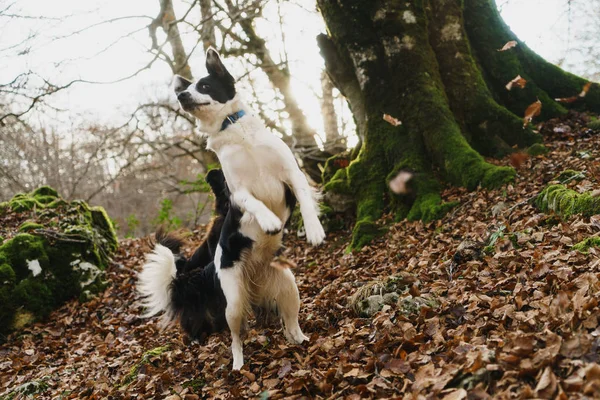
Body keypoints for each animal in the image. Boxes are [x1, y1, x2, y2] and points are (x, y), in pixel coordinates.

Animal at [138, 48, 326, 370]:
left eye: (203, 85)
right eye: (186, 89)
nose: (182, 96)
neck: (236, 131)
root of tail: (256, 275)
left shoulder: (292, 174)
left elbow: (304, 197)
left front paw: (313, 229)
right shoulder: (237, 191)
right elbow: (255, 203)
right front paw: (269, 220)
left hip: (290, 288)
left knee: (290, 324)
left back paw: (302, 340)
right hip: (234, 304)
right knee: (236, 337)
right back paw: (238, 364)